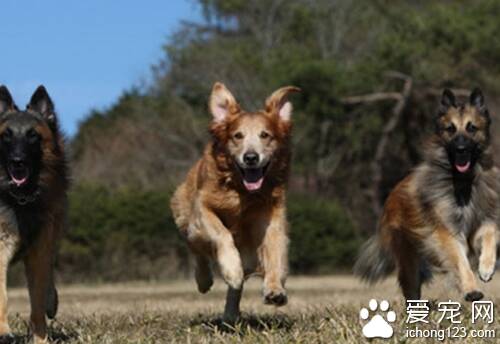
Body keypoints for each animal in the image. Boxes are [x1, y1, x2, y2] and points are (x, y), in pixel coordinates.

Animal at [0, 85, 68, 342]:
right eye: (6, 135)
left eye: (32, 135)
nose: (17, 161)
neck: (20, 200)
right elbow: (2, 295)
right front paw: (4, 331)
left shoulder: (40, 249)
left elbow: (37, 298)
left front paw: (40, 338)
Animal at [354, 88, 498, 300]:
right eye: (450, 129)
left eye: (471, 128)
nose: (461, 149)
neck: (462, 182)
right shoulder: (446, 233)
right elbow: (460, 261)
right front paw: (471, 289)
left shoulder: (479, 221)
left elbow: (489, 233)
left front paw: (486, 267)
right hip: (409, 261)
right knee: (411, 288)